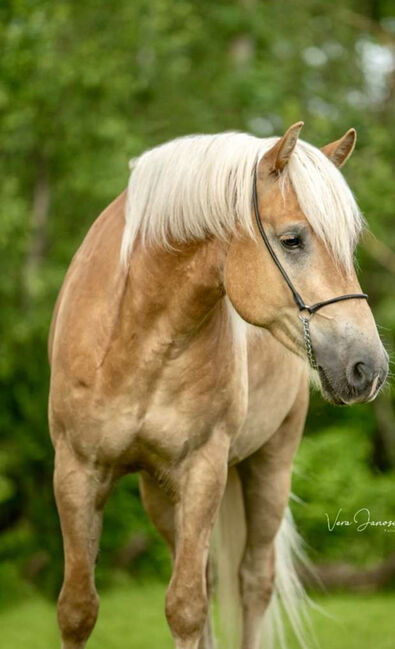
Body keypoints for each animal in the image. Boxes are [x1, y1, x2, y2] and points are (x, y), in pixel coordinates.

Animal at [48, 123, 388, 648]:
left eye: (350, 244)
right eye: (292, 240)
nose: (368, 367)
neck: (135, 337)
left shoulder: (203, 471)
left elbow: (185, 607)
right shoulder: (76, 471)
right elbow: (78, 609)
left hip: (271, 467)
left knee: (253, 581)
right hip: (158, 491)